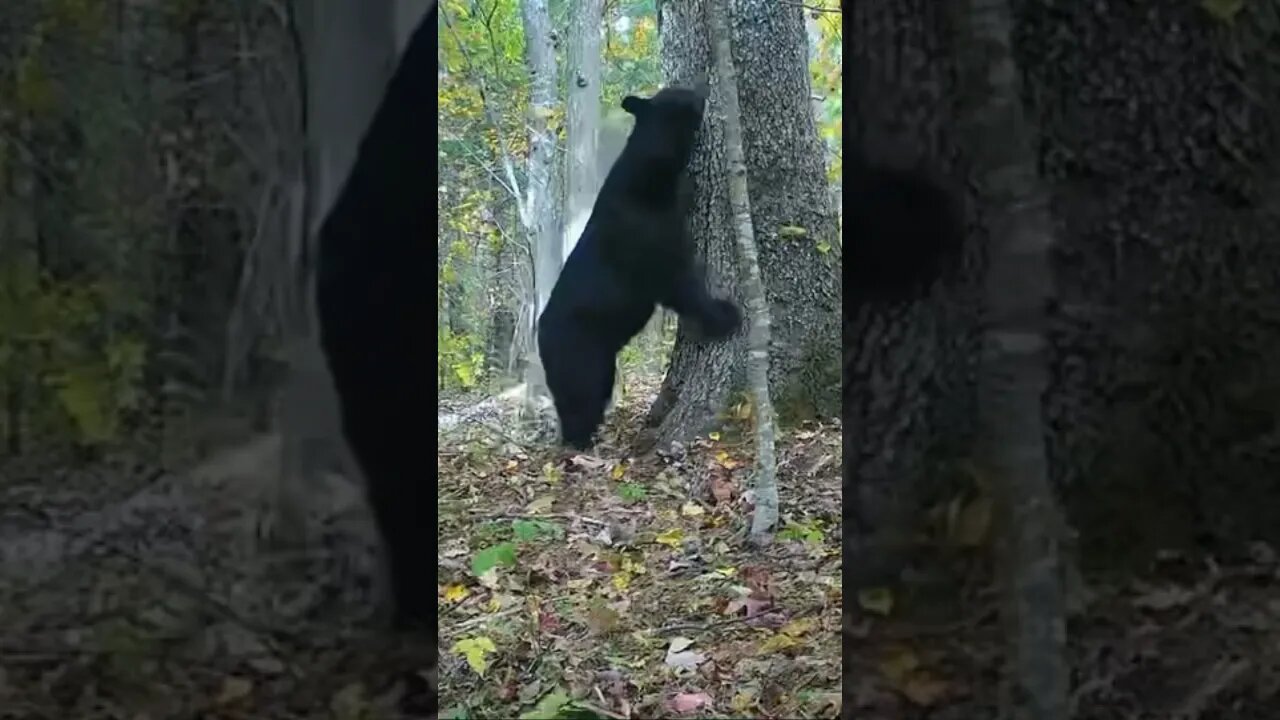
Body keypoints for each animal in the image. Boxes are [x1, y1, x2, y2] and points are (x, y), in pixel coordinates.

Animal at [537, 84, 742, 450]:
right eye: (681, 94)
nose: (700, 89)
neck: (648, 182)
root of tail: (540, 336)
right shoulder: (650, 242)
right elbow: (680, 286)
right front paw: (726, 315)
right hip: (579, 352)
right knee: (580, 395)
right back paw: (581, 440)